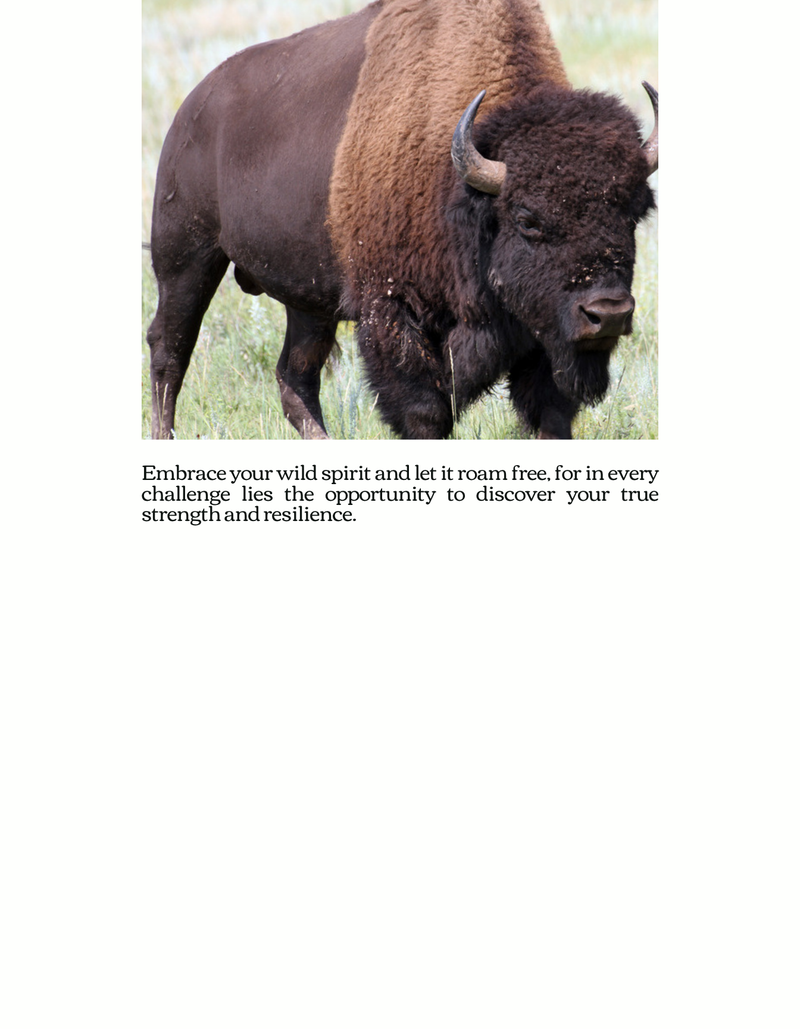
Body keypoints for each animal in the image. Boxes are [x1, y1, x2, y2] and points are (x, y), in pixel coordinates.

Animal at [146, 0, 657, 440]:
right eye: (528, 218)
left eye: (634, 212)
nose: (608, 314)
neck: (461, 188)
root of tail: (190, 110)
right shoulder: (391, 312)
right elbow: (424, 413)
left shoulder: (542, 337)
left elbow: (551, 413)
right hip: (186, 259)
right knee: (169, 352)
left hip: (307, 302)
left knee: (295, 377)